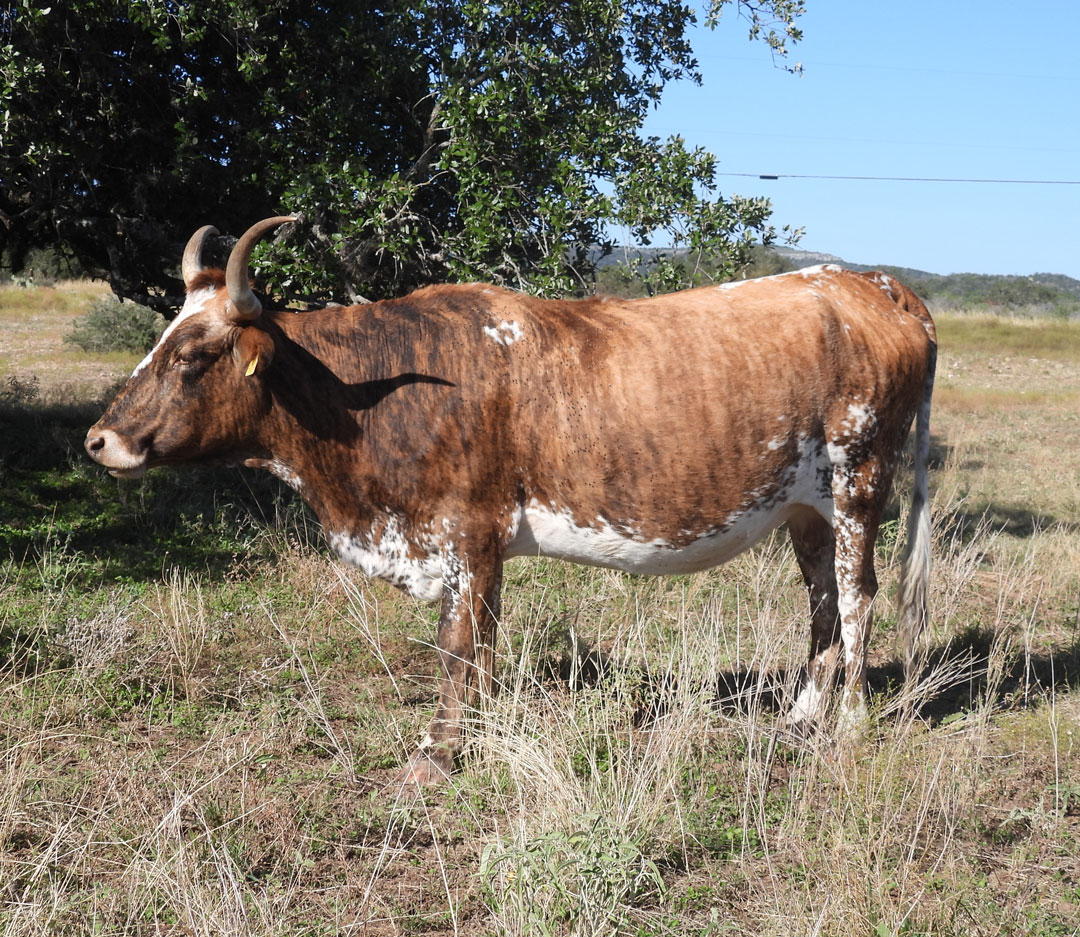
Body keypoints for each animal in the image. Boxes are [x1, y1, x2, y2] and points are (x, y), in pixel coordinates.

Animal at [88, 218, 937, 781]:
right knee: (822, 598)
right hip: (805, 505)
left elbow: (460, 644)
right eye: (160, 340)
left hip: (860, 478)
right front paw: (474, 734)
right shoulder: (470, 547)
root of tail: (869, 282)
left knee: (858, 595)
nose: (100, 439)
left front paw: (435, 755)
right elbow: (482, 645)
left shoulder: (469, 533)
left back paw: (850, 724)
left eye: (194, 356)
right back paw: (799, 716)